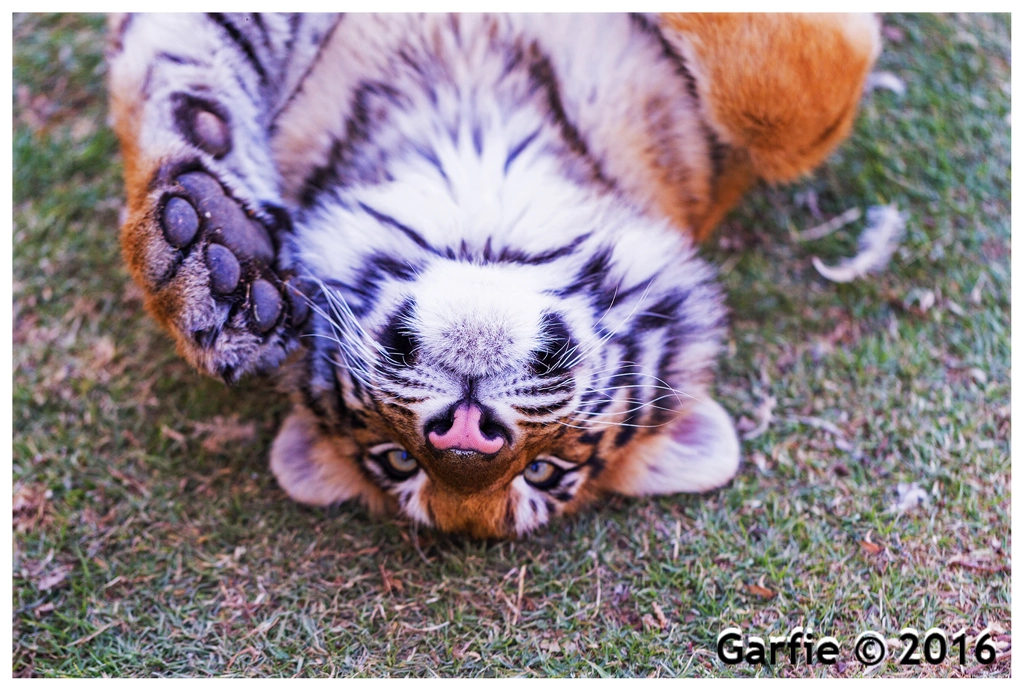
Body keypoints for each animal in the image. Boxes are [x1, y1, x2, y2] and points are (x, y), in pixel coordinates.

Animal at [107, 13, 881, 538]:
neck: (472, 136)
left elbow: (786, 109)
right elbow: (162, 70)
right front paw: (207, 256)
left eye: (547, 472)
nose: (467, 439)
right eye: (396, 460)